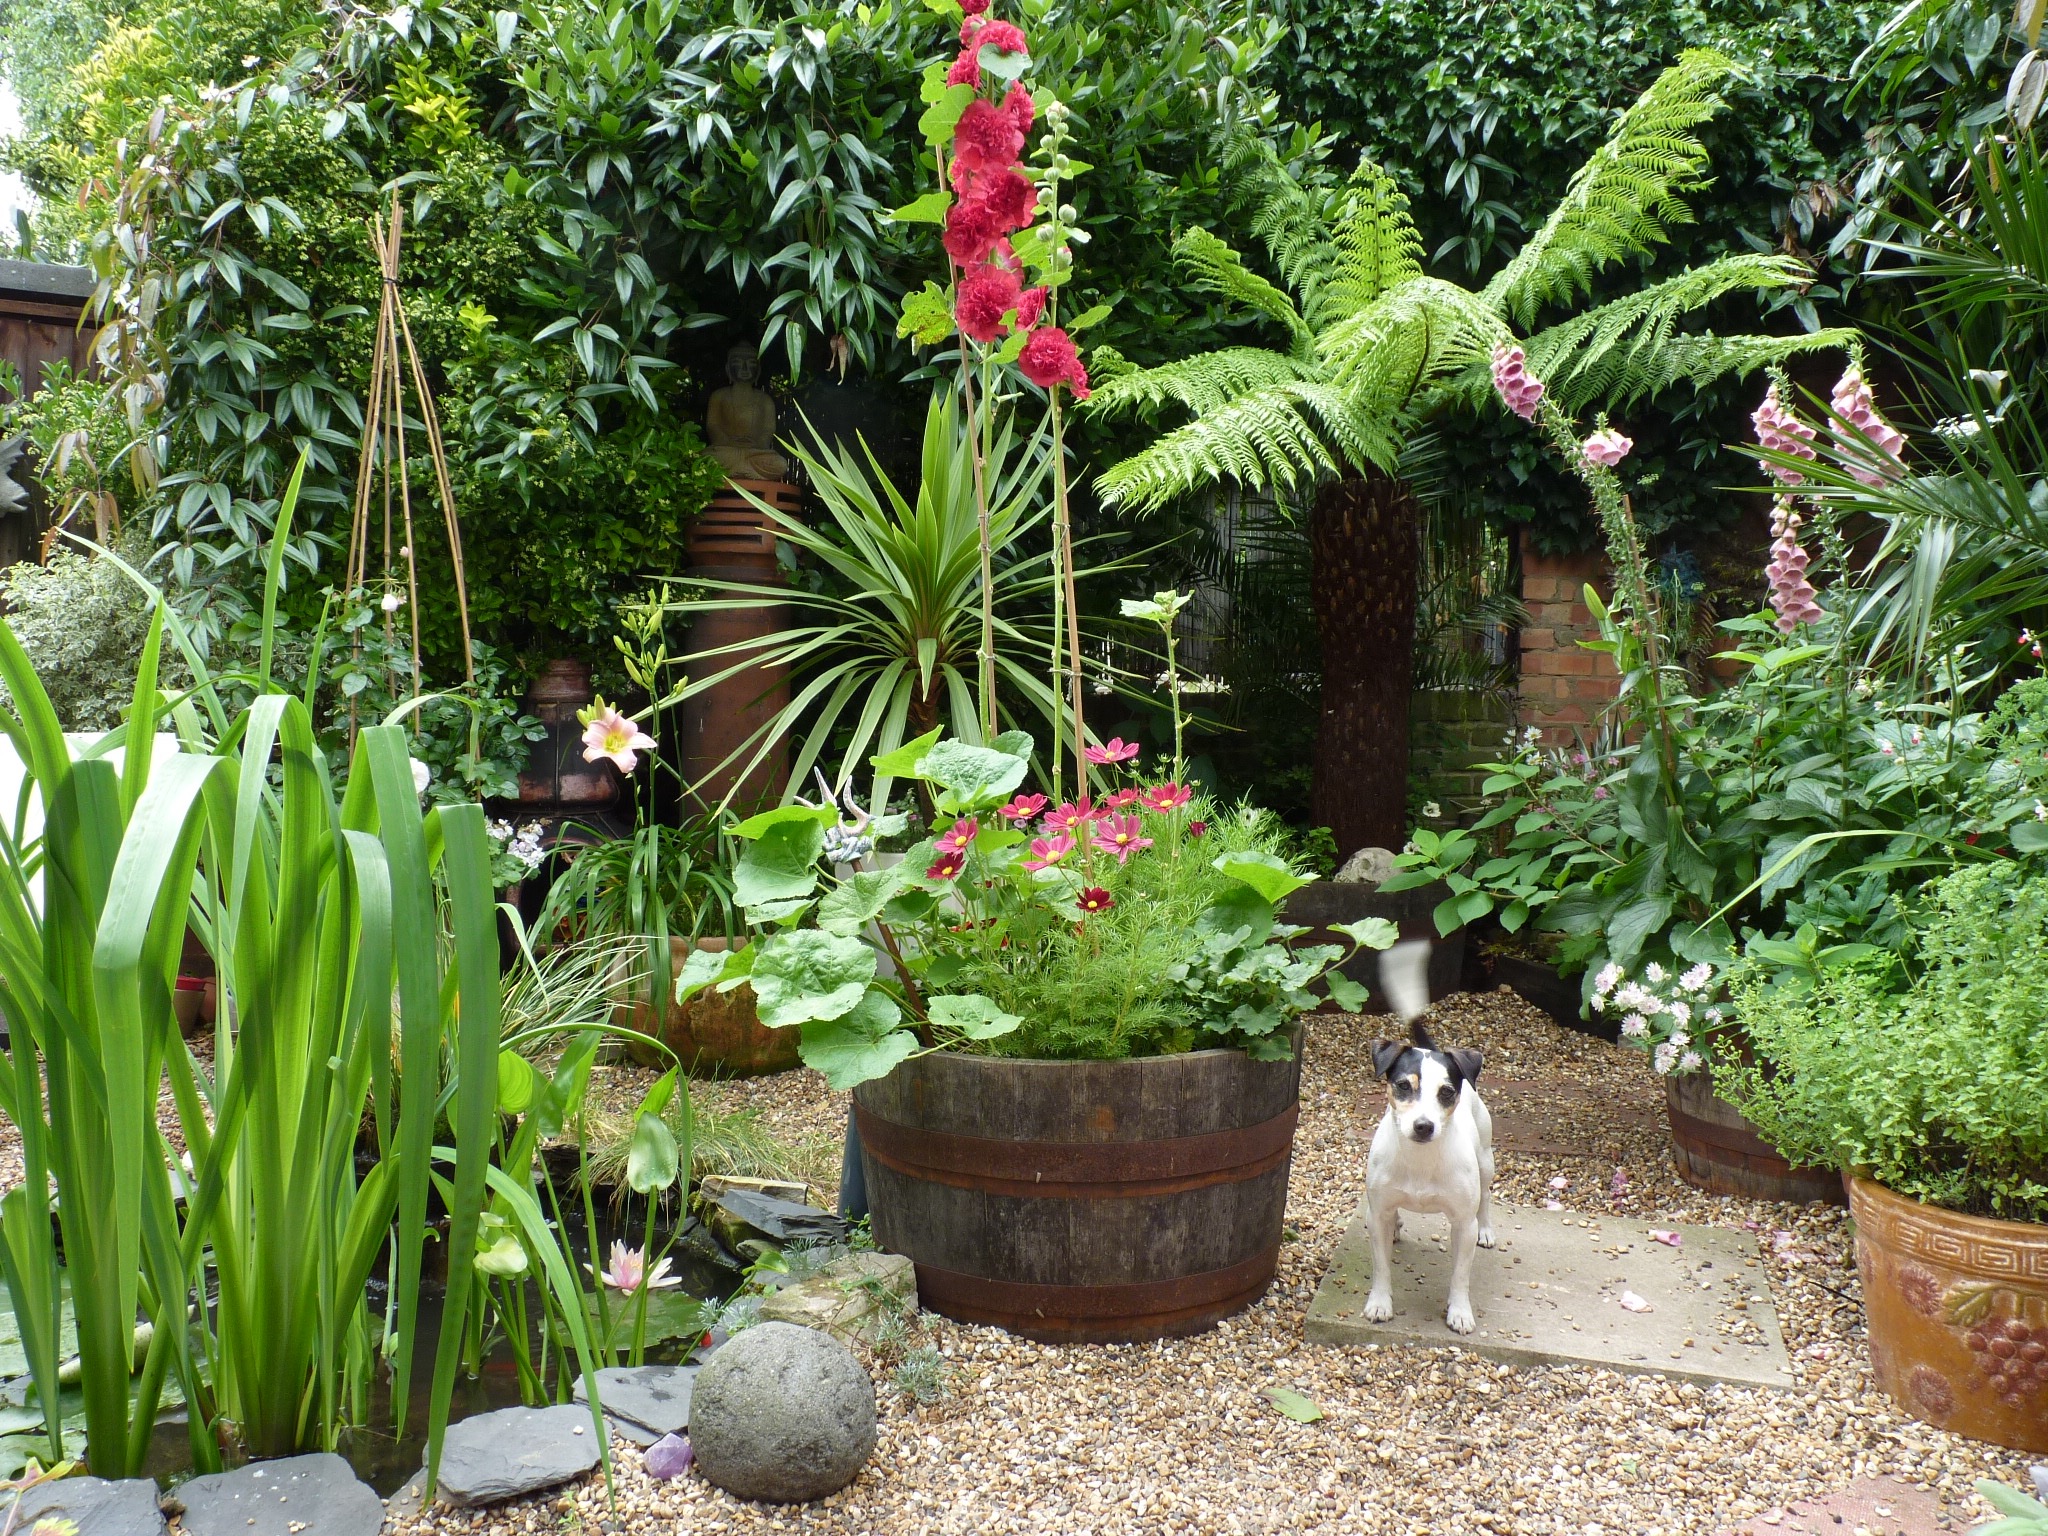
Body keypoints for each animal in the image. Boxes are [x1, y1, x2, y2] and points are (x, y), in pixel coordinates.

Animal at [1368, 937, 1499, 1335]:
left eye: (1446, 1091)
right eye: (1402, 1085)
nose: (1423, 1126)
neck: (1421, 1162)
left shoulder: (1462, 1224)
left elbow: (1460, 1275)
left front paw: (1460, 1311)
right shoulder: (1376, 1214)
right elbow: (1381, 1267)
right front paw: (1379, 1302)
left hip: (1486, 1161)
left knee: (1486, 1199)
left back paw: (1488, 1229)